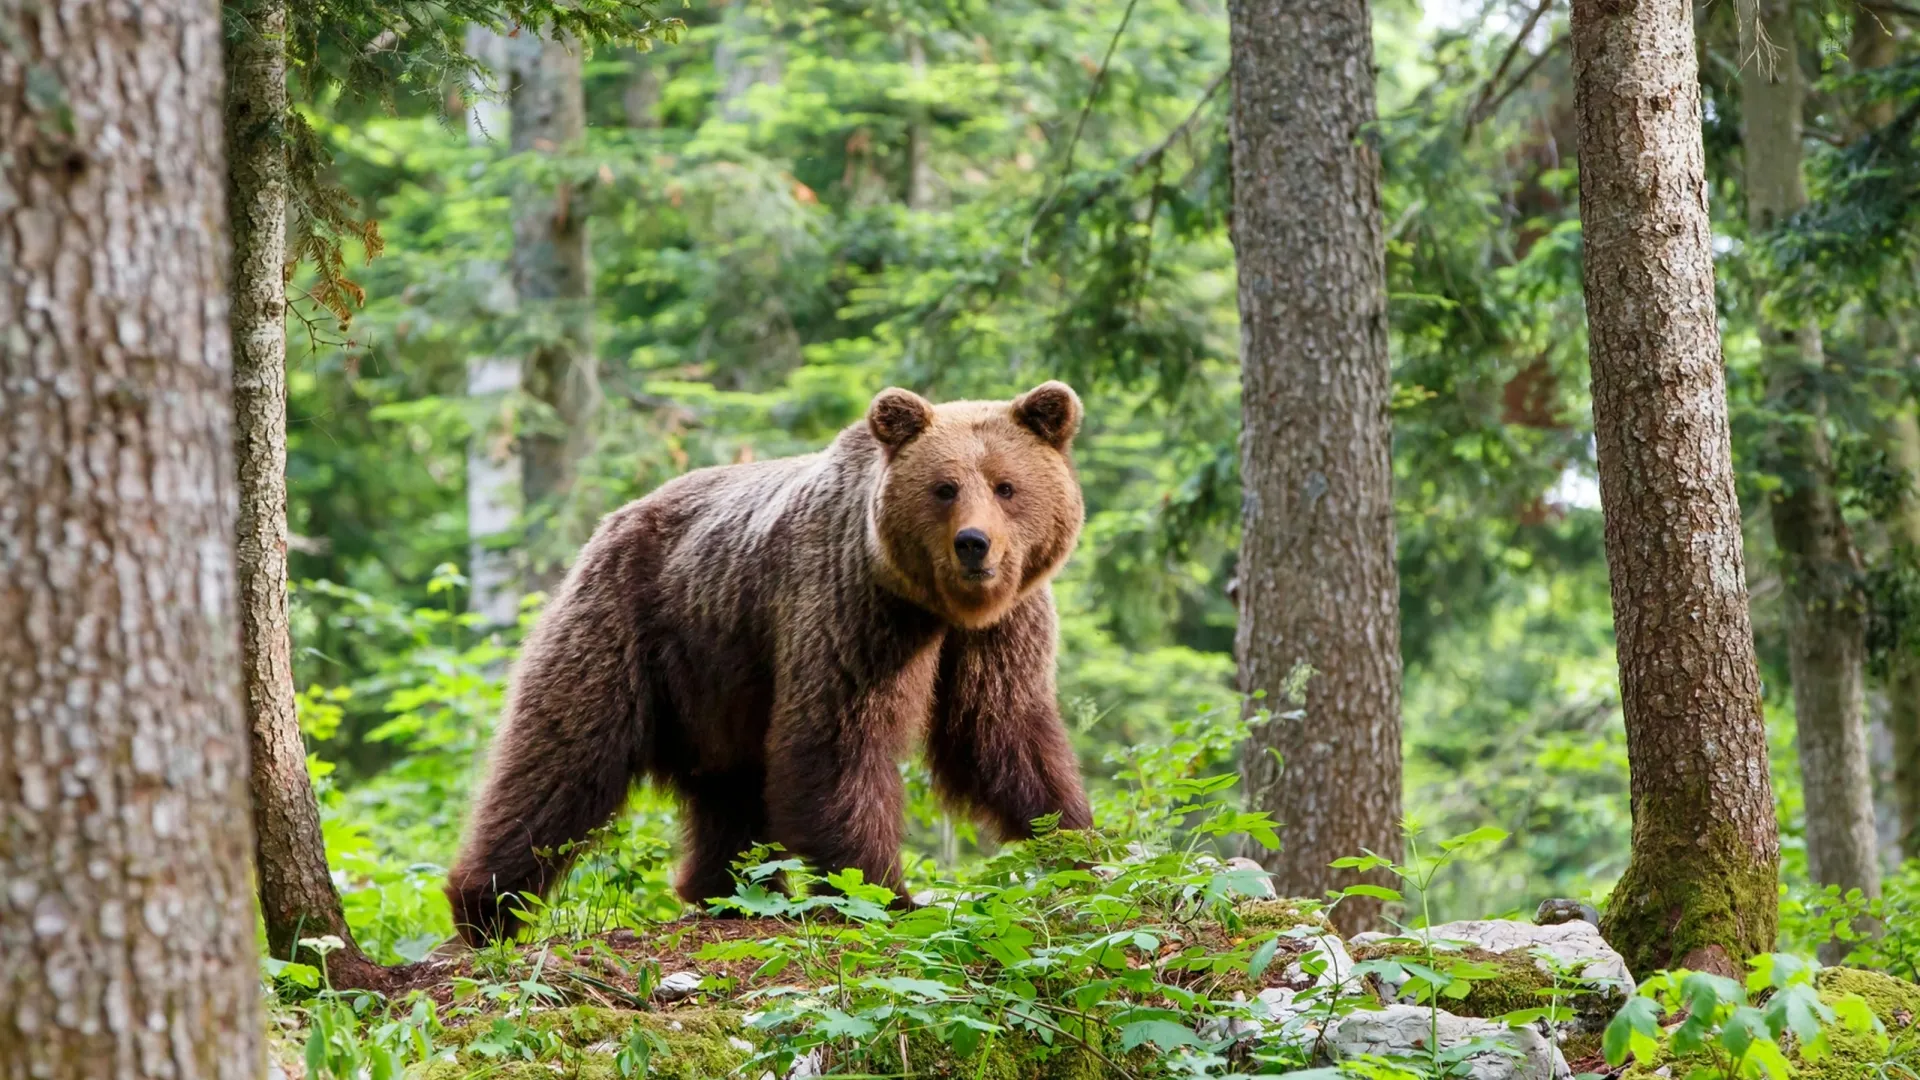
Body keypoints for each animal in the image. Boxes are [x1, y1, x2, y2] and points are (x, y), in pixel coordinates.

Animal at [439, 378, 1090, 941]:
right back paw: (486, 908)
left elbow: (1000, 729)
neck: (934, 605)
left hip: (716, 679)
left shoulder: (1002, 626)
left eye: (1006, 486)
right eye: (945, 487)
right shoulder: (850, 606)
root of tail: (613, 520)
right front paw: (885, 893)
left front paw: (1077, 844)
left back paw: (730, 891)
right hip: (628, 626)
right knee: (563, 756)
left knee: (730, 789)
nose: (973, 544)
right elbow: (837, 737)